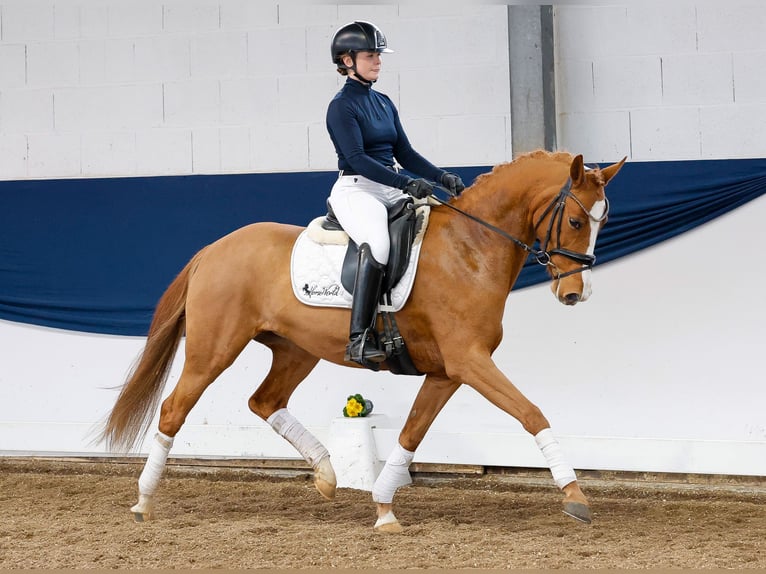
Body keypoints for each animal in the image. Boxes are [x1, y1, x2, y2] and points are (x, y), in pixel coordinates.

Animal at [102, 150, 628, 536]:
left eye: (603, 222)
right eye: (577, 222)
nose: (575, 294)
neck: (471, 248)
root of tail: (213, 249)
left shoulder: (447, 372)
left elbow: (411, 434)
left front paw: (384, 509)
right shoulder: (470, 362)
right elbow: (531, 413)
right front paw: (575, 496)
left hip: (296, 350)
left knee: (264, 400)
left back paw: (326, 475)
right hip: (214, 349)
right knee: (174, 409)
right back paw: (144, 501)